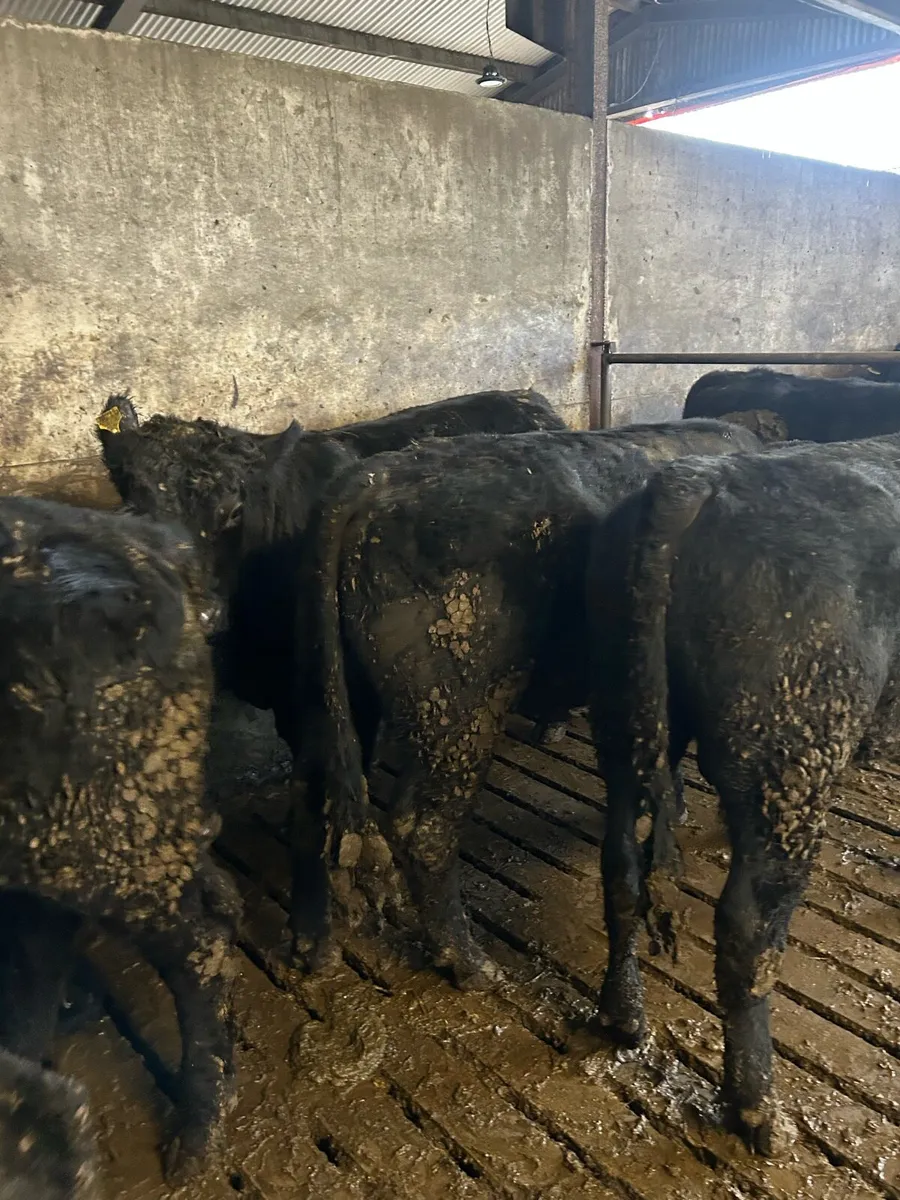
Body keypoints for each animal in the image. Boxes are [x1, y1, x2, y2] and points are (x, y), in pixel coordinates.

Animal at [282, 421, 761, 989]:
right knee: (423, 831)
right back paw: (473, 965)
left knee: (311, 798)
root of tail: (375, 476)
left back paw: (313, 949)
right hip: (459, 708)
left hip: (334, 693)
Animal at [586, 433, 900, 1155]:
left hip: (621, 715)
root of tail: (697, 478)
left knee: (620, 867)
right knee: (748, 931)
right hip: (794, 756)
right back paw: (760, 1112)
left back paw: (622, 1013)